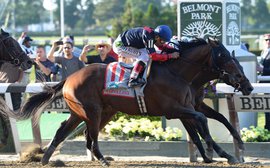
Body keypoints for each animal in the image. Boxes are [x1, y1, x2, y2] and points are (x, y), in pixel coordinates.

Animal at [0, 37, 251, 165]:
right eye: (224, 56)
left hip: (89, 112)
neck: (179, 73)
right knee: (89, 135)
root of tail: (70, 77)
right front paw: (221, 152)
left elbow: (212, 121)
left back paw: (46, 158)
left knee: (66, 130)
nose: (247, 85)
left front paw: (233, 145)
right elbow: (201, 124)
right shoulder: (176, 109)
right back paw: (101, 159)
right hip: (92, 111)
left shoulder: (188, 106)